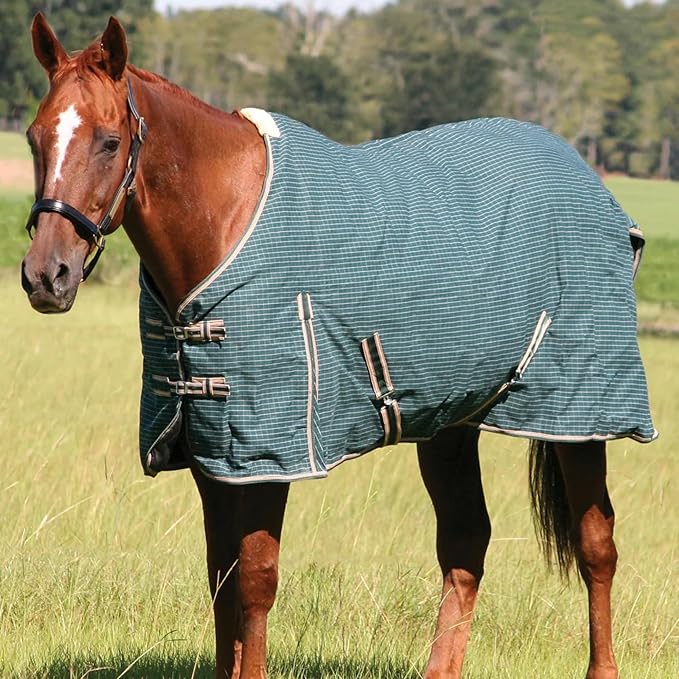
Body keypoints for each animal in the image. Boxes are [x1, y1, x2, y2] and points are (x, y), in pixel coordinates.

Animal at [21, 14, 656, 679]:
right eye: (36, 138)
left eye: (108, 141)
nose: (46, 275)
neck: (227, 223)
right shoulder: (211, 454)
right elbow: (222, 581)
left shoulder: (267, 454)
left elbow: (255, 582)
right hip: (450, 423)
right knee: (466, 543)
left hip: (581, 416)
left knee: (596, 544)